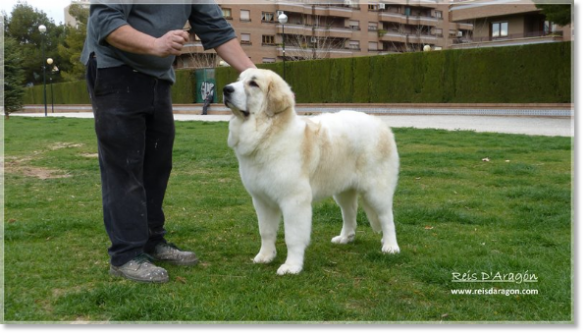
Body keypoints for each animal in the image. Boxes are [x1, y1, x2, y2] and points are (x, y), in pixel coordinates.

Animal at [221, 69, 400, 276]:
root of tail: (380, 123)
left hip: (376, 190)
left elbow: (293, 236)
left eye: (253, 84)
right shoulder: (261, 200)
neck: (268, 134)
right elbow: (265, 231)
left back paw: (390, 246)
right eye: (238, 80)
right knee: (349, 212)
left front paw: (292, 266)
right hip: (342, 190)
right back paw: (345, 238)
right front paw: (265, 256)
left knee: (387, 217)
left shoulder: (294, 201)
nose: (226, 89)